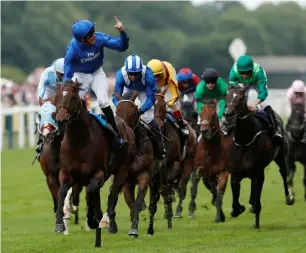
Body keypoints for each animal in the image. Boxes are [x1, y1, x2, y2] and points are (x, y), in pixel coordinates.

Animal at [52, 80, 134, 246]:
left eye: (72, 97)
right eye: (56, 97)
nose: (61, 120)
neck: (79, 141)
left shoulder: (99, 172)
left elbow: (91, 191)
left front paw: (92, 218)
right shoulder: (66, 172)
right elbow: (62, 191)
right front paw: (59, 223)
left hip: (122, 171)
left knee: (112, 195)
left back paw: (109, 224)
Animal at [224, 86, 296, 228]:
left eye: (241, 98)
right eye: (227, 96)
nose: (228, 114)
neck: (244, 141)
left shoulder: (259, 172)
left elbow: (256, 200)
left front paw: (256, 223)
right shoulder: (236, 173)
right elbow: (235, 202)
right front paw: (239, 209)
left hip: (281, 156)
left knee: (283, 172)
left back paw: (289, 197)